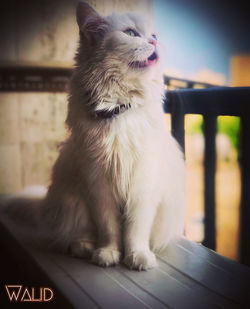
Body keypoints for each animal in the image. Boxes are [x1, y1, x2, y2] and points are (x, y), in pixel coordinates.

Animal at [2, 0, 186, 270]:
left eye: (154, 36)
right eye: (131, 33)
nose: (153, 42)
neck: (119, 106)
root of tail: (46, 204)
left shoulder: (142, 185)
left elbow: (135, 230)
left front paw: (137, 256)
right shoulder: (99, 184)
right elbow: (109, 229)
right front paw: (108, 254)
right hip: (73, 201)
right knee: (79, 233)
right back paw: (85, 247)